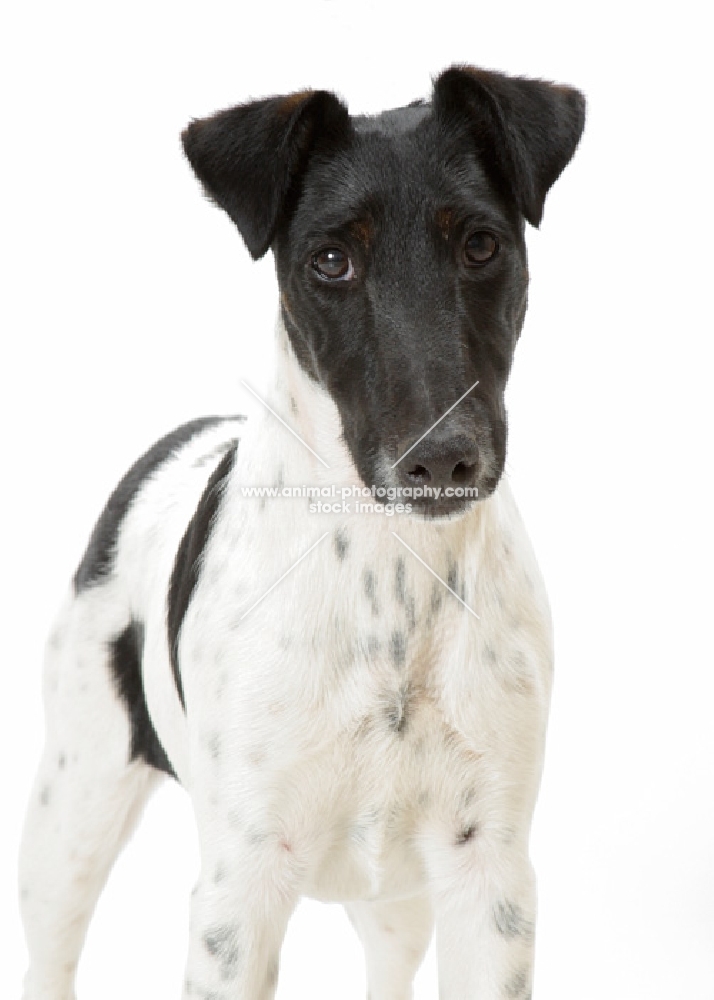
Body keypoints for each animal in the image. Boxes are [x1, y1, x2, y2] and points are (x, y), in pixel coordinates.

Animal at [19, 68, 580, 1000]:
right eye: (330, 260)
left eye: (480, 245)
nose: (445, 456)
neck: (388, 575)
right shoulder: (238, 890)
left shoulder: (488, 873)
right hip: (71, 814)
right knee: (49, 952)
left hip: (396, 899)